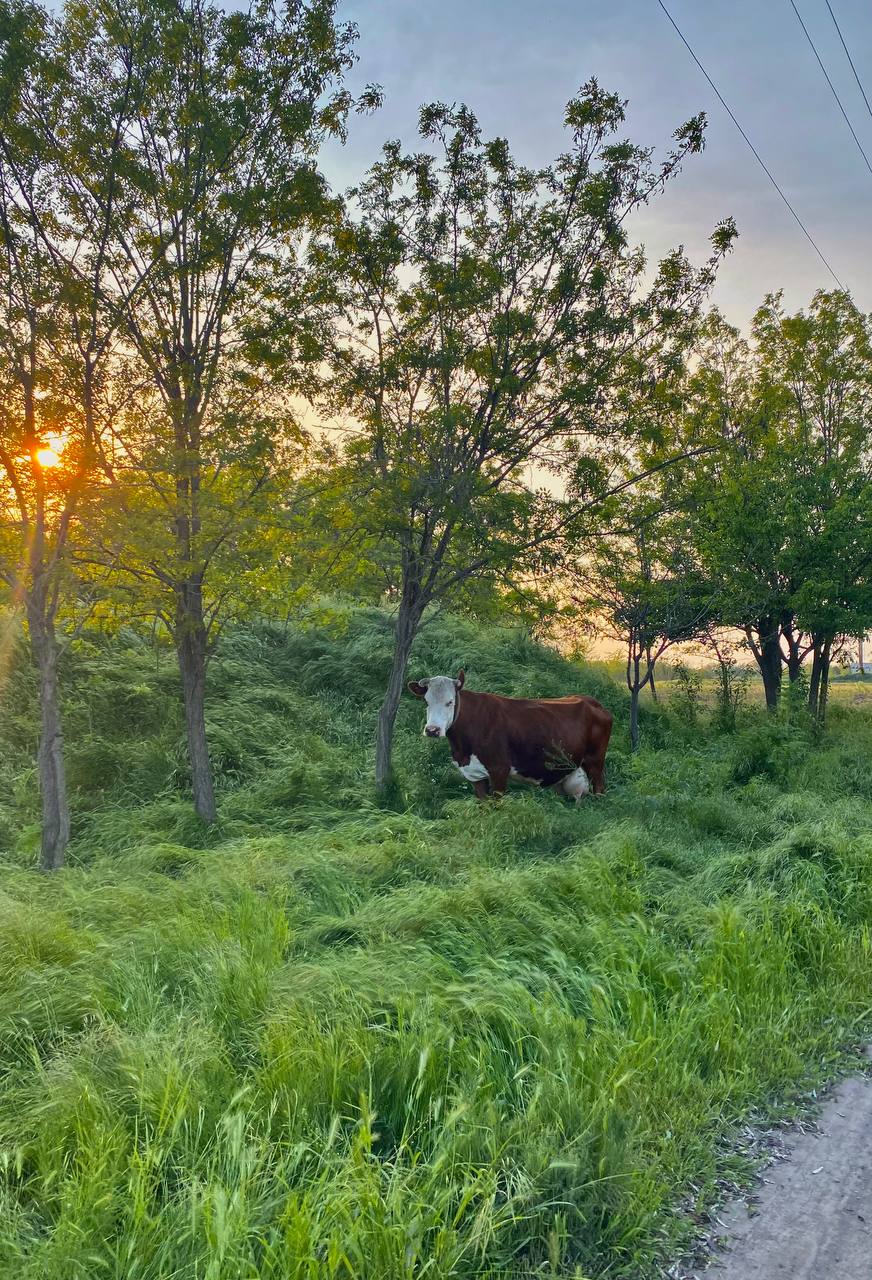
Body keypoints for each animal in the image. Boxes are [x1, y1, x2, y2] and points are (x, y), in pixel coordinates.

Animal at [407, 670, 612, 798]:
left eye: (450, 702)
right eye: (426, 701)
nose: (432, 730)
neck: (462, 749)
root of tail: (590, 700)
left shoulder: (499, 770)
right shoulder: (475, 775)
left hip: (594, 761)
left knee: (599, 789)